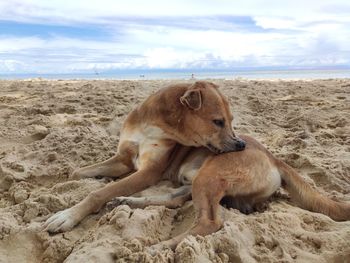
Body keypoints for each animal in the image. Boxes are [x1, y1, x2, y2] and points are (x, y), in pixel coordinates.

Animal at [44, 81, 246, 233]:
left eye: (231, 120)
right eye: (218, 122)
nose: (241, 145)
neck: (153, 125)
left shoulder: (148, 172)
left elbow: (100, 193)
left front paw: (67, 216)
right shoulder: (123, 159)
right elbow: (77, 173)